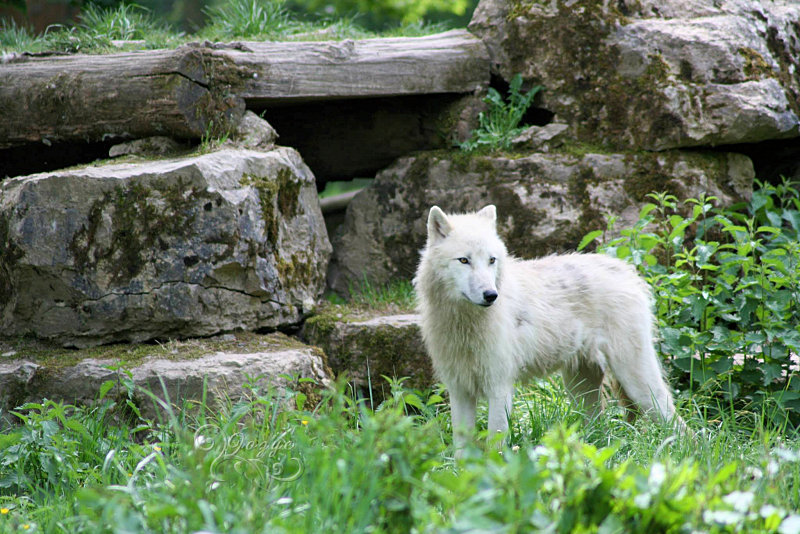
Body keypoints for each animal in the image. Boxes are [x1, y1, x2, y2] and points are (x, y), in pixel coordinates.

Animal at [416, 207, 684, 454]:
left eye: (491, 260)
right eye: (464, 260)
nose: (491, 295)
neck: (465, 323)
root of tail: (627, 271)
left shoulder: (500, 388)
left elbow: (496, 445)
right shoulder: (459, 390)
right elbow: (461, 450)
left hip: (638, 383)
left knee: (679, 425)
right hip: (581, 389)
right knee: (599, 429)